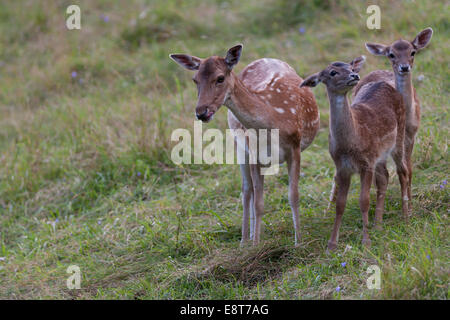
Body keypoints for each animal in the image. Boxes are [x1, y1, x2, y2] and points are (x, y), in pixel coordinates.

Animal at [169, 44, 320, 245]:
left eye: (220, 78)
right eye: (195, 80)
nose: (201, 112)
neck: (275, 119)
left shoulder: (295, 147)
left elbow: (293, 196)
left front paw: (299, 242)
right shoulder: (253, 152)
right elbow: (257, 201)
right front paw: (255, 244)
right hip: (239, 147)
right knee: (247, 190)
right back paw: (244, 240)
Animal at [300, 56, 410, 250]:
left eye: (350, 67)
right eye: (333, 72)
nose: (354, 75)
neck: (351, 142)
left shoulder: (366, 163)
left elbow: (364, 201)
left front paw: (366, 242)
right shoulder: (342, 167)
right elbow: (340, 204)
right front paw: (331, 245)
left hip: (399, 136)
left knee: (402, 171)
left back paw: (404, 217)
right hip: (379, 154)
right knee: (384, 177)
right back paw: (378, 225)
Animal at [364, 28, 434, 218]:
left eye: (413, 52)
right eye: (391, 54)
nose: (404, 67)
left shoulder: (412, 134)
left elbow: (408, 169)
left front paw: (410, 207)